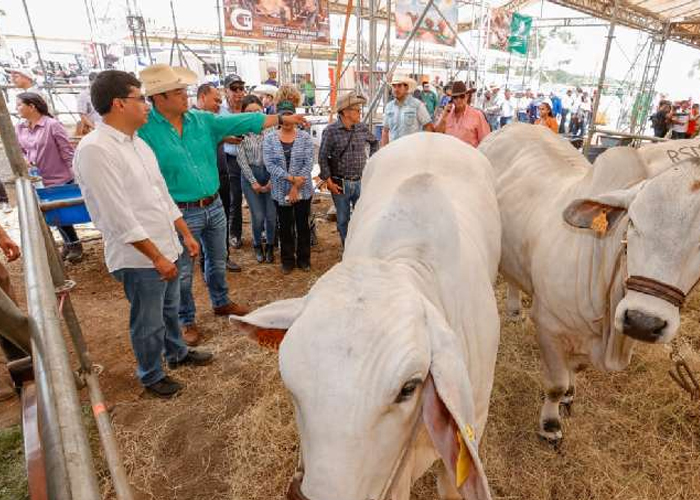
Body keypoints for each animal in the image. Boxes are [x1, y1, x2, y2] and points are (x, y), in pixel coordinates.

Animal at [478, 123, 700, 444]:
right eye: (632, 223)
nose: (643, 321)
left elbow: (575, 370)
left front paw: (571, 394)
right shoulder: (548, 325)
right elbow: (555, 384)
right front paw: (550, 424)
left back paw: (515, 310)